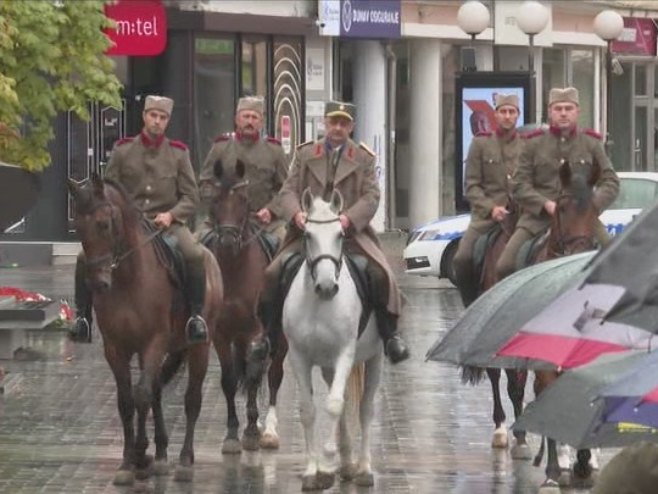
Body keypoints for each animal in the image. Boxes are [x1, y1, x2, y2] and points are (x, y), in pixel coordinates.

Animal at [68, 176, 223, 484]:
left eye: (104, 224)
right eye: (77, 226)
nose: (97, 284)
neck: (127, 278)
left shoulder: (155, 341)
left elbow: (141, 395)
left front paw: (140, 452)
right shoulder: (116, 348)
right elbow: (128, 400)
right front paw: (131, 461)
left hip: (199, 346)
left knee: (191, 399)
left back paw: (185, 460)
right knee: (156, 391)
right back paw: (160, 453)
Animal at [206, 160, 286, 454]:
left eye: (243, 199)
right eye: (215, 199)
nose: (228, 241)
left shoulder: (256, 332)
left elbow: (253, 376)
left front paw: (251, 430)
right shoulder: (220, 334)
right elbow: (229, 379)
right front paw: (232, 433)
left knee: (272, 375)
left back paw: (269, 429)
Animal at [280, 188, 382, 490]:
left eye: (340, 234)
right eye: (307, 235)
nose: (327, 287)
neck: (319, 304)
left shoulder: (344, 354)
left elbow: (335, 406)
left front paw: (326, 460)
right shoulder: (299, 356)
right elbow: (308, 409)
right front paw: (313, 470)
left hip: (376, 357)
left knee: (365, 409)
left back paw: (363, 468)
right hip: (327, 366)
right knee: (346, 401)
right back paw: (346, 463)